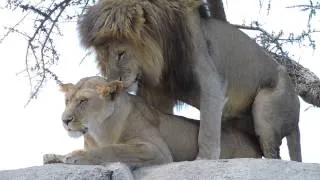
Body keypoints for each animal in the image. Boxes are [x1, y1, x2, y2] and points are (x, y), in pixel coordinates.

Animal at [43, 77, 262, 167]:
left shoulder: (157, 150)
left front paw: (75, 155)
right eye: (67, 101)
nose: (65, 120)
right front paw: (54, 156)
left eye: (83, 101)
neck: (100, 130)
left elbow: (114, 149)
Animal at [79, 0, 302, 160]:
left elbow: (207, 131)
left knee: (274, 154)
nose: (112, 82)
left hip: (267, 111)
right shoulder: (156, 92)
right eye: (103, 59)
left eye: (121, 54)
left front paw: (203, 159)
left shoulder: (212, 82)